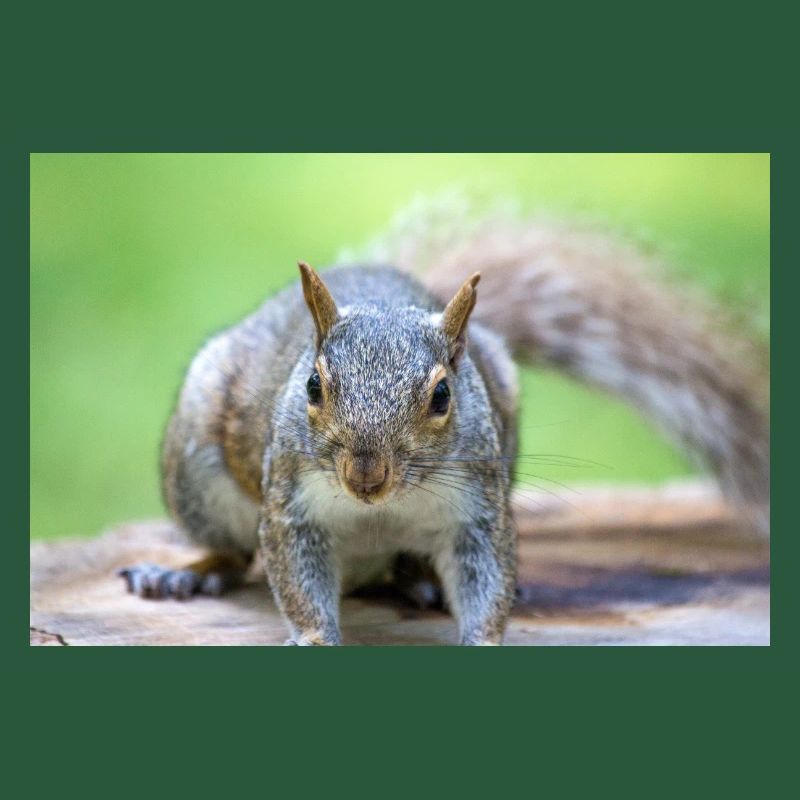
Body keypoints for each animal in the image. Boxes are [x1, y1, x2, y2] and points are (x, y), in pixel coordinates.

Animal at [118, 200, 770, 646]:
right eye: (312, 386)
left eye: (441, 396)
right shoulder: (290, 502)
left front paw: (483, 634)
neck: (379, 511)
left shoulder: (477, 510)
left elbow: (485, 576)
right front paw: (313, 637)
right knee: (231, 552)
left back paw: (420, 580)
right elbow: (295, 578)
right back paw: (183, 575)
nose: (366, 476)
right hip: (198, 472)